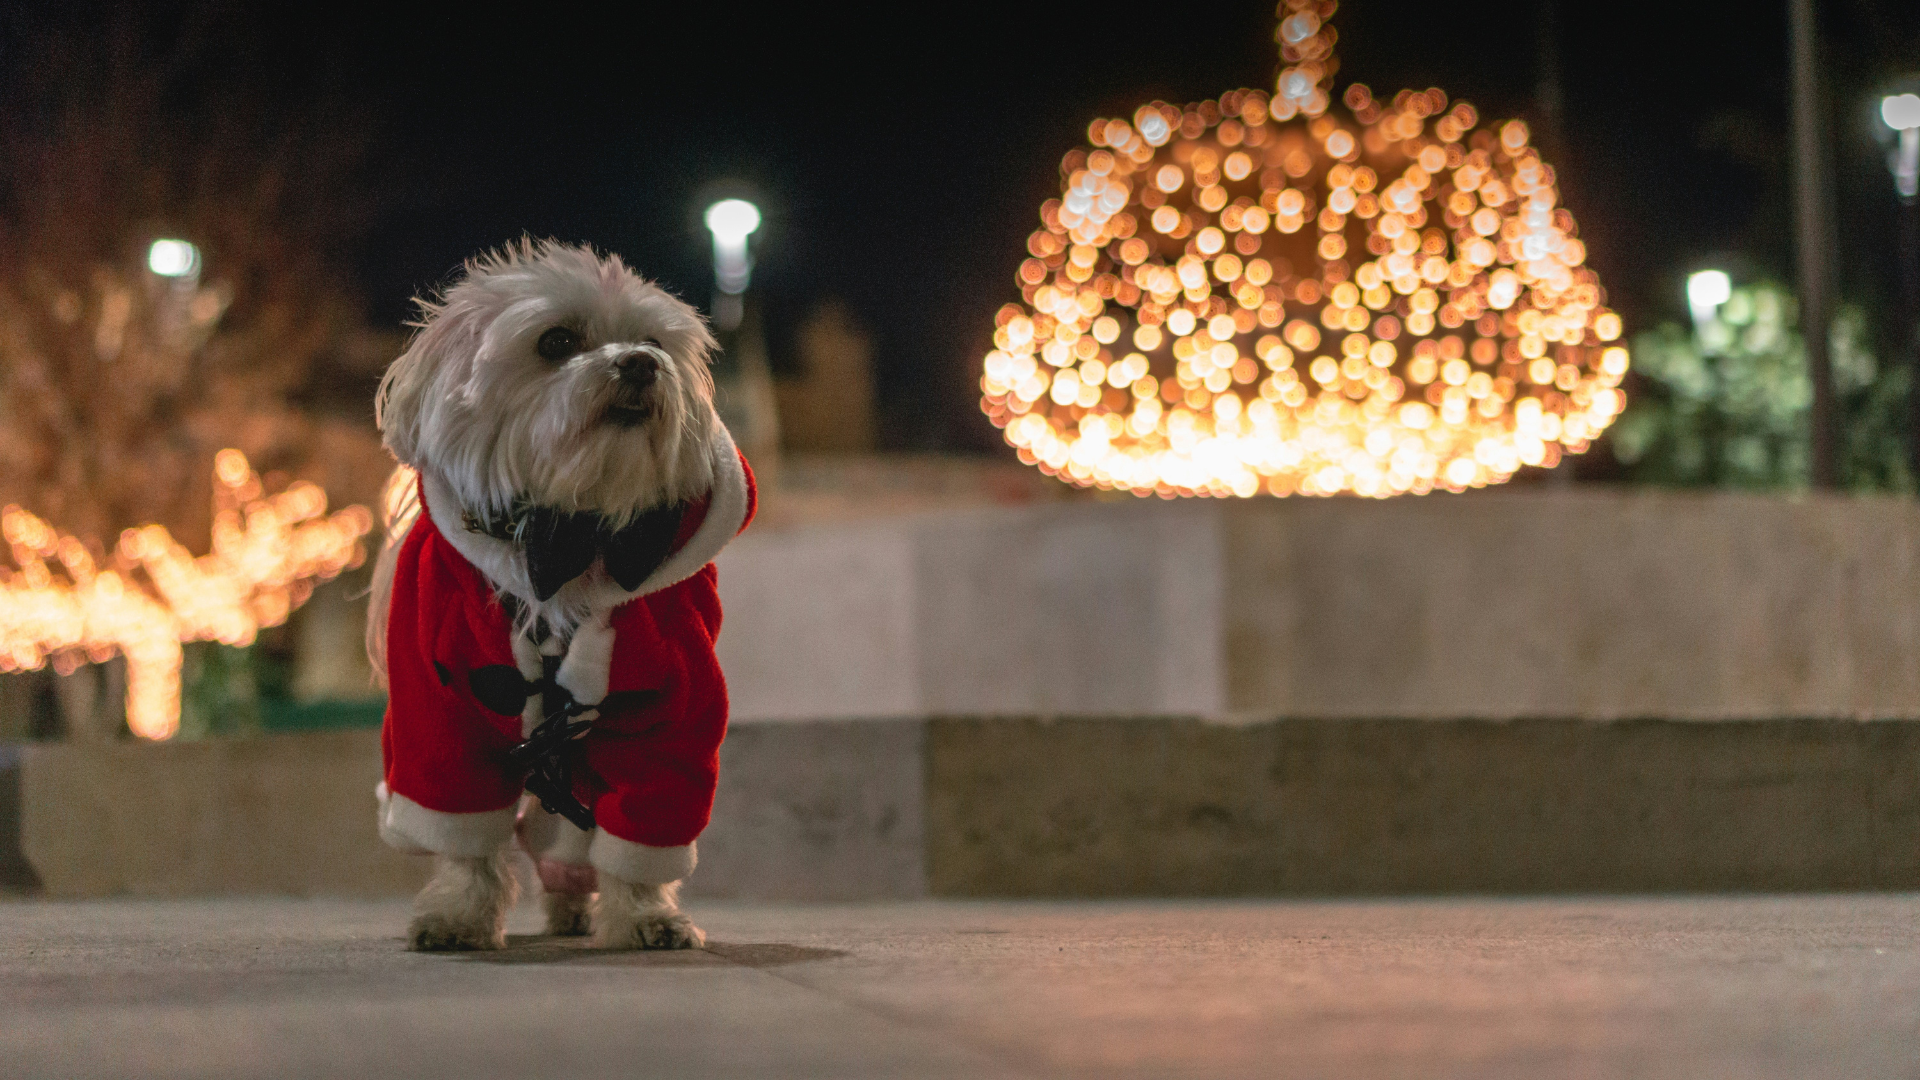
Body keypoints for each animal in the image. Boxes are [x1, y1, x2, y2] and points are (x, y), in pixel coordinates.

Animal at [362, 237, 752, 949]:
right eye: (557, 341)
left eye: (653, 340)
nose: (641, 363)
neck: (571, 533)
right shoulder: (440, 715)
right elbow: (461, 828)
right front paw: (460, 913)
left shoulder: (674, 707)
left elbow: (648, 816)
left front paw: (646, 915)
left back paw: (574, 900)